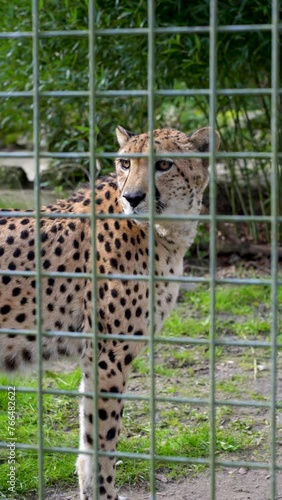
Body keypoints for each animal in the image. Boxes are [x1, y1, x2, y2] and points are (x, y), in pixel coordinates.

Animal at [0, 126, 220, 500]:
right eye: (125, 163)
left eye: (164, 164)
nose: (132, 197)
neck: (163, 233)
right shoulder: (109, 354)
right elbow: (102, 437)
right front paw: (103, 493)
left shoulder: (96, 356)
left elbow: (89, 437)